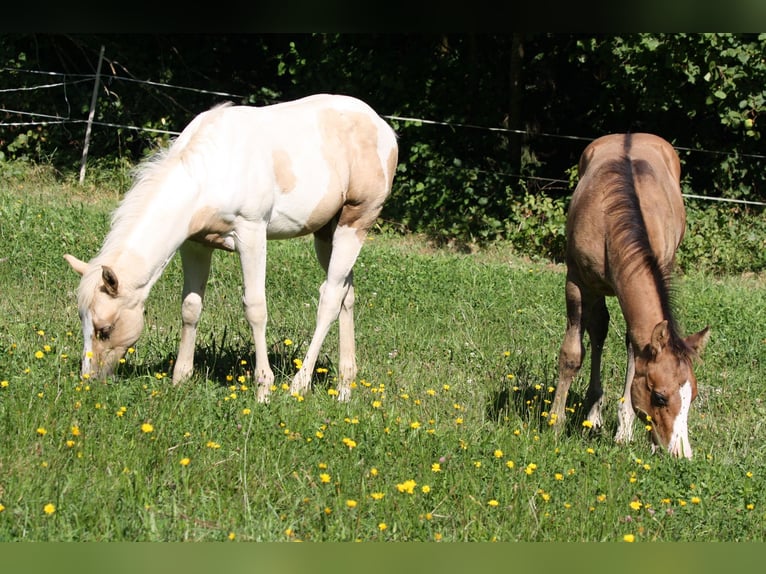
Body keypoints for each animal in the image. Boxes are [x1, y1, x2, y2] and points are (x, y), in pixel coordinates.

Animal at [65, 94, 400, 402]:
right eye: (83, 321)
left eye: (104, 329)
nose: (88, 379)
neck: (209, 172)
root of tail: (383, 127)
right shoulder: (195, 245)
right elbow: (190, 307)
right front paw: (180, 379)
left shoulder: (251, 234)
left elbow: (255, 307)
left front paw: (263, 389)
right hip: (326, 234)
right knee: (346, 293)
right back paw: (344, 388)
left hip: (355, 224)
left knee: (329, 298)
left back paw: (299, 385)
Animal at [552, 133, 708, 462]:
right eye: (660, 396)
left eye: (693, 396)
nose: (681, 453)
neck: (614, 221)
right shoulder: (577, 282)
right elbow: (572, 354)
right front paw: (555, 424)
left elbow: (634, 346)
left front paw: (625, 430)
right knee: (598, 330)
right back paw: (593, 413)